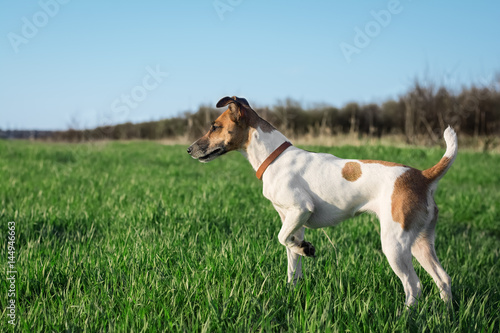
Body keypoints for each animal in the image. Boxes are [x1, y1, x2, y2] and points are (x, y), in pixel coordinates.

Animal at [188, 95, 458, 306]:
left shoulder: (300, 210)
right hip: (420, 243)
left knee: (414, 285)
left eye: (214, 126)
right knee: (443, 279)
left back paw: (405, 317)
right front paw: (294, 282)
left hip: (395, 244)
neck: (273, 157)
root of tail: (423, 176)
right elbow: (291, 258)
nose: (189, 150)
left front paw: (306, 249)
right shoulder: (293, 222)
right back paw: (446, 315)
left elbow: (281, 238)